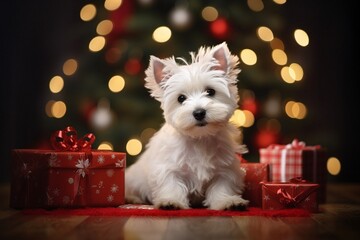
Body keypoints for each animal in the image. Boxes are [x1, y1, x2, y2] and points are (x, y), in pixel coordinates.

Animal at [125, 41, 249, 210]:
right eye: (181, 98)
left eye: (210, 91)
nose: (199, 112)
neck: (199, 139)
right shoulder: (168, 168)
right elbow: (172, 185)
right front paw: (171, 201)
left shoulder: (225, 169)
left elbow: (222, 187)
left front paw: (228, 202)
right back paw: (133, 198)